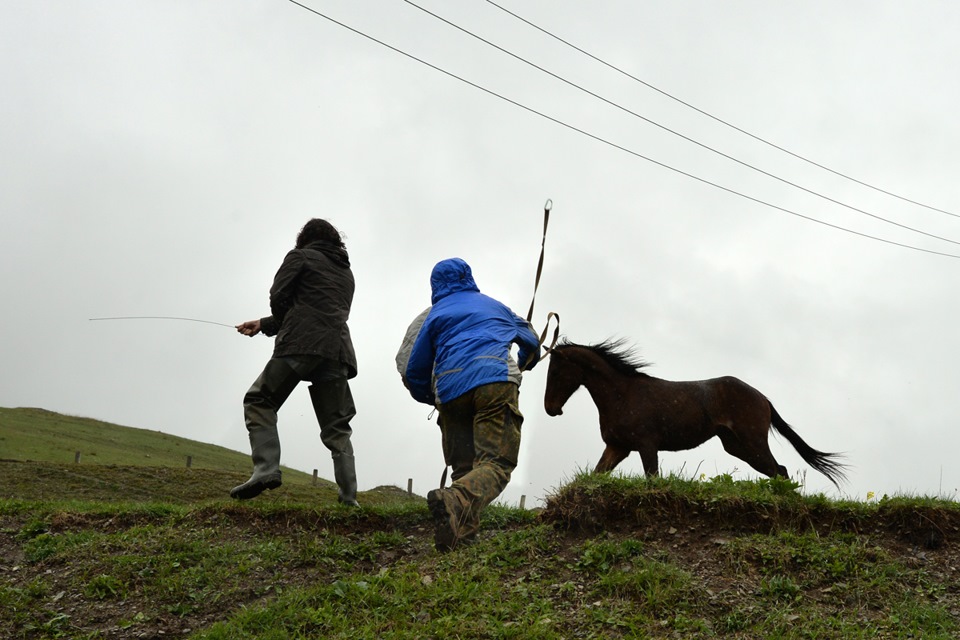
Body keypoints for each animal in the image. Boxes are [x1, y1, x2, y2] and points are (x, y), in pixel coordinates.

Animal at [543, 339, 847, 488]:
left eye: (555, 371)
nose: (550, 408)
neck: (621, 394)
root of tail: (763, 399)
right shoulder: (617, 447)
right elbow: (596, 474)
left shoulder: (646, 445)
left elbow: (652, 479)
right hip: (737, 446)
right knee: (778, 471)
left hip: (753, 442)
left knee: (779, 471)